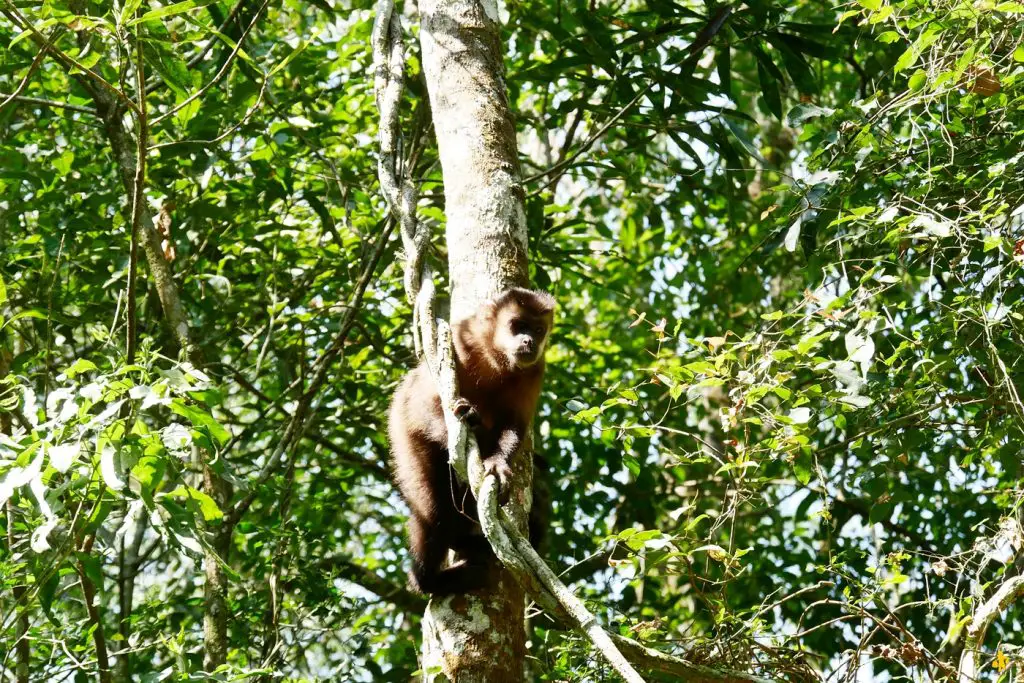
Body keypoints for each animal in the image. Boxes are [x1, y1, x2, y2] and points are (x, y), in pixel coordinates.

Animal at [387, 286, 557, 593]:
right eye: (519, 325)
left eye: (538, 330)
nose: (529, 340)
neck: (495, 354)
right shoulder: (460, 339)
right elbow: (424, 401)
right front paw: (461, 435)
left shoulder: (536, 368)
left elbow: (514, 424)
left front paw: (497, 465)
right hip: (403, 433)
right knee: (433, 510)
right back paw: (428, 579)